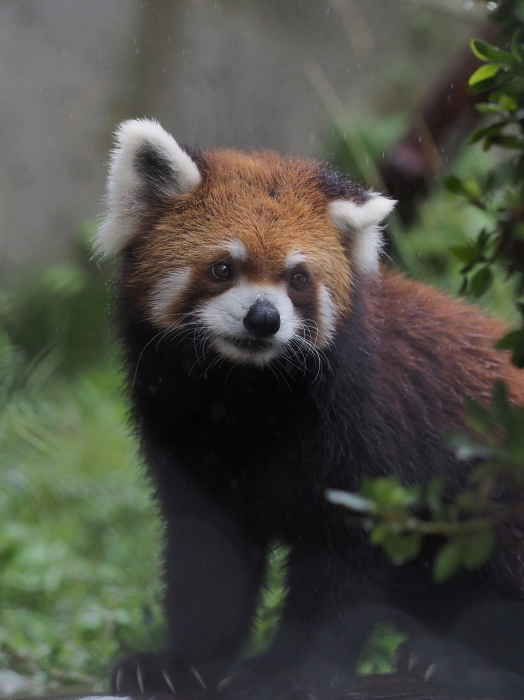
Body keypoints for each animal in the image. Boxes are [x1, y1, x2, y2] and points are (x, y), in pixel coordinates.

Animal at [96, 120, 524, 700]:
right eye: (223, 268)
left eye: (297, 278)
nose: (263, 318)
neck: (246, 396)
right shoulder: (182, 436)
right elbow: (207, 557)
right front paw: (177, 664)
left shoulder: (367, 434)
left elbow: (341, 567)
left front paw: (291, 672)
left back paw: (456, 662)